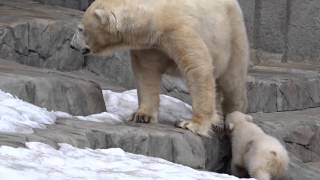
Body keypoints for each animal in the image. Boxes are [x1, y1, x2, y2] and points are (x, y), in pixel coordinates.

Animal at [70, 0, 250, 136]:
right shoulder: (149, 44)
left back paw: (232, 119)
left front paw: (191, 124)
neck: (155, 16)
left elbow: (197, 68)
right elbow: (146, 73)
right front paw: (142, 116)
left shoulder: (178, 29)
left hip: (232, 34)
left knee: (232, 82)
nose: (72, 45)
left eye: (80, 29)